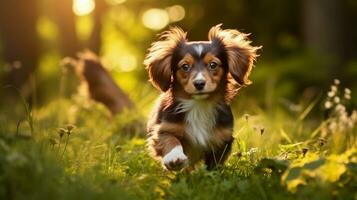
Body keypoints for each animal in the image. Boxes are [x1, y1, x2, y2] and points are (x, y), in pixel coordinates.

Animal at [143, 23, 260, 170]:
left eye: (213, 65)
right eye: (185, 66)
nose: (199, 83)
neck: (199, 106)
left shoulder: (222, 140)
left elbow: (213, 167)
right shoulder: (164, 128)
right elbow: (170, 140)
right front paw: (174, 157)